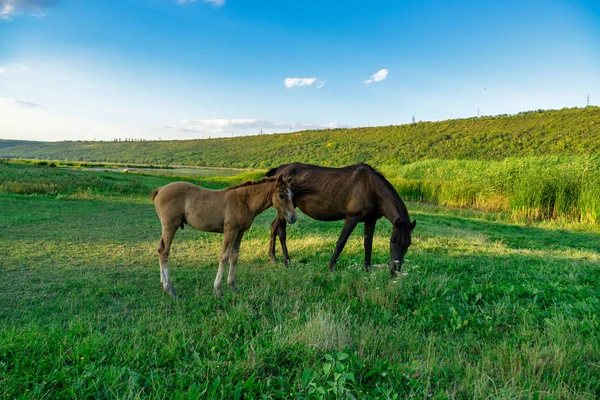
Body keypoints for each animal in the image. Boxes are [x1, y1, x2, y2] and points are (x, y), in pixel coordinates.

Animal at [151, 175, 296, 296]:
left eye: (292, 194)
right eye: (281, 195)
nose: (293, 218)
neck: (244, 201)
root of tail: (160, 189)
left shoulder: (240, 232)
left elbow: (234, 256)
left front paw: (233, 286)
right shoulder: (230, 230)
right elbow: (224, 257)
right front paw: (218, 289)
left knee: (159, 249)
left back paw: (163, 283)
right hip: (170, 226)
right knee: (164, 251)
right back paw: (169, 289)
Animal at [268, 162, 418, 276]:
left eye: (408, 243)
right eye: (392, 240)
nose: (394, 271)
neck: (372, 188)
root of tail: (280, 169)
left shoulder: (370, 220)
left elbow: (368, 244)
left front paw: (367, 269)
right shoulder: (352, 218)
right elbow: (341, 242)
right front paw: (331, 266)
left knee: (274, 226)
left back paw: (273, 257)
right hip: (285, 209)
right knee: (281, 232)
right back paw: (286, 261)